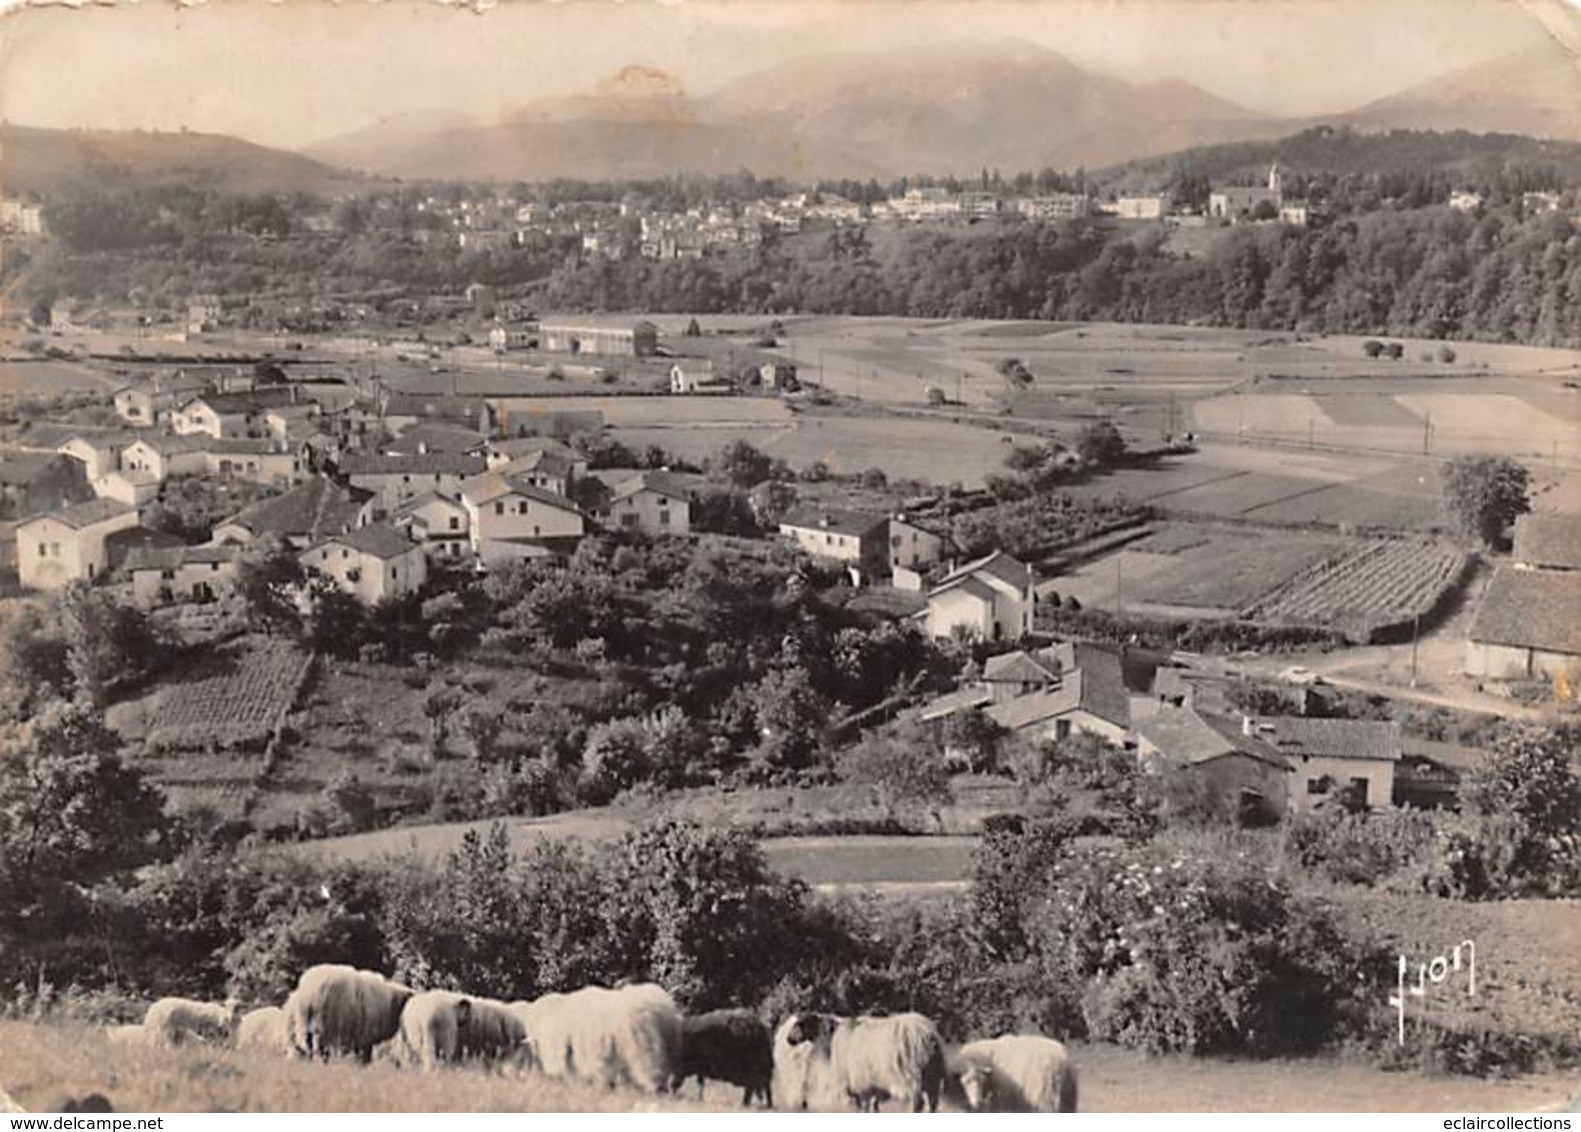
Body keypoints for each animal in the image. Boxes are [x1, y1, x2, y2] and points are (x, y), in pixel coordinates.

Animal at [774, 1011, 935, 1113]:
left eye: (799, 1024)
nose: (788, 1039)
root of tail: (925, 1033)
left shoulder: (855, 1085)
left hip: (912, 1078)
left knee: (918, 1103)